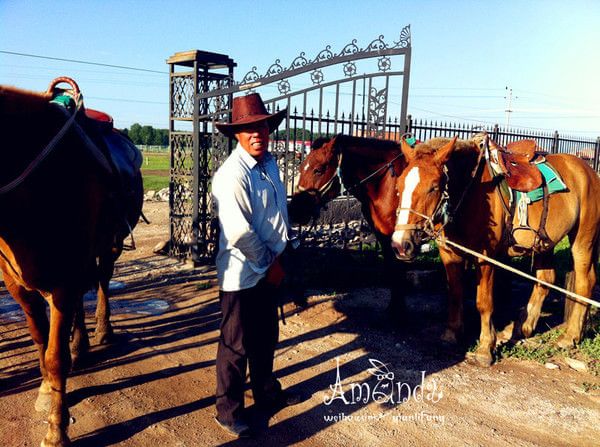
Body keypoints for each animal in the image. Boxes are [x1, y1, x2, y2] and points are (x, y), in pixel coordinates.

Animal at [0, 80, 143, 447]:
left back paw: (101, 331)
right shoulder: (19, 286)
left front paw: (56, 430)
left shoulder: (63, 283)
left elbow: (55, 358)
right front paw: (45, 392)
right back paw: (81, 346)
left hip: (108, 247)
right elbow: (40, 343)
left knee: (103, 282)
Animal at [288, 134, 410, 318]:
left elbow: (399, 270)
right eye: (301, 167)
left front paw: (399, 312)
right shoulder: (383, 235)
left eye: (319, 170)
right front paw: (393, 308)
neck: (387, 182)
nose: (296, 210)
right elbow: (391, 269)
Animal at [390, 136, 600, 368]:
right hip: (544, 241)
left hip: (583, 239)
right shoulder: (449, 253)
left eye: (433, 187)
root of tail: (589, 172)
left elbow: (484, 302)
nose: (401, 245)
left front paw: (485, 347)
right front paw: (452, 333)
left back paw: (570, 336)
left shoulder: (486, 257)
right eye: (398, 186)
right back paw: (523, 326)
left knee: (585, 283)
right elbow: (455, 294)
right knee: (546, 279)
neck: (472, 192)